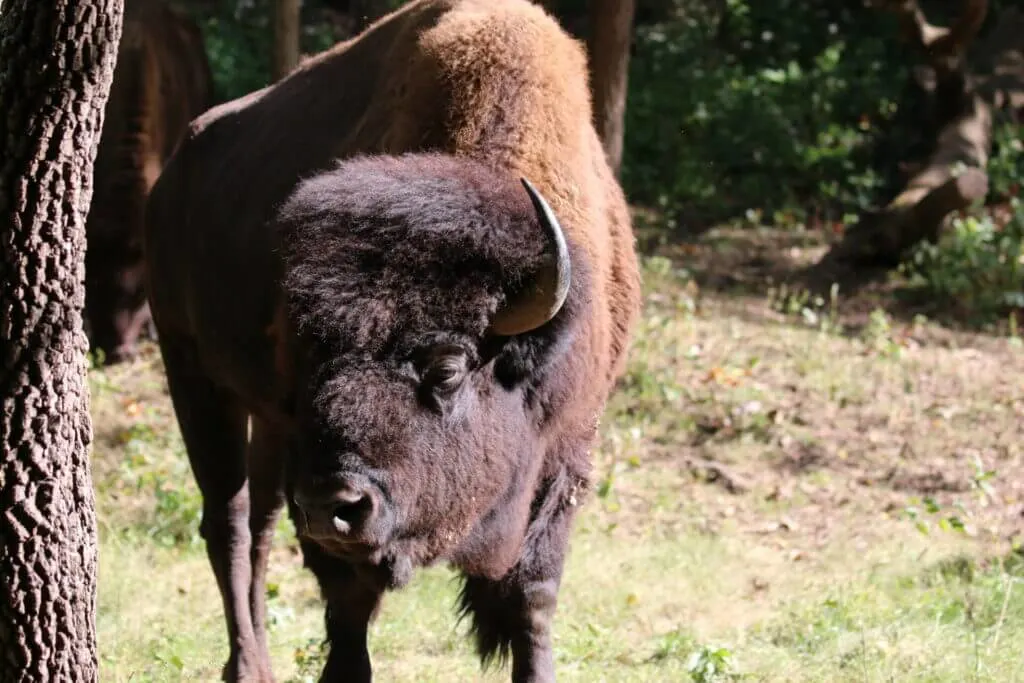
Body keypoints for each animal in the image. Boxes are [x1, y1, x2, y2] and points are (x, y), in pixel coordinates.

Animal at [143, 0, 642, 680]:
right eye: (308, 358)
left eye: (448, 368)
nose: (333, 504)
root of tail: (172, 174)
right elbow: (349, 604)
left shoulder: (566, 453)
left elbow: (534, 599)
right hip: (191, 369)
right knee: (230, 522)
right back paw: (245, 665)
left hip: (264, 421)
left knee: (262, 521)